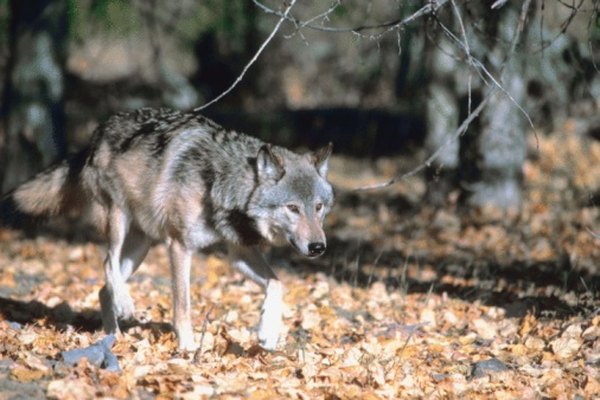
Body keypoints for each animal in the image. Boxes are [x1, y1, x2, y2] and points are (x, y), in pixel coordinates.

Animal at [0, 108, 332, 350]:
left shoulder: (239, 252)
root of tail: (97, 132)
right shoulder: (180, 246)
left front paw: (268, 332)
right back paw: (125, 305)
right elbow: (183, 305)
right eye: (293, 208)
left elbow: (277, 283)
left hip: (140, 248)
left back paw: (113, 336)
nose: (318, 247)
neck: (220, 180)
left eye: (318, 207)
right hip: (119, 221)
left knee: (103, 287)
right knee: (108, 263)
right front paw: (187, 348)